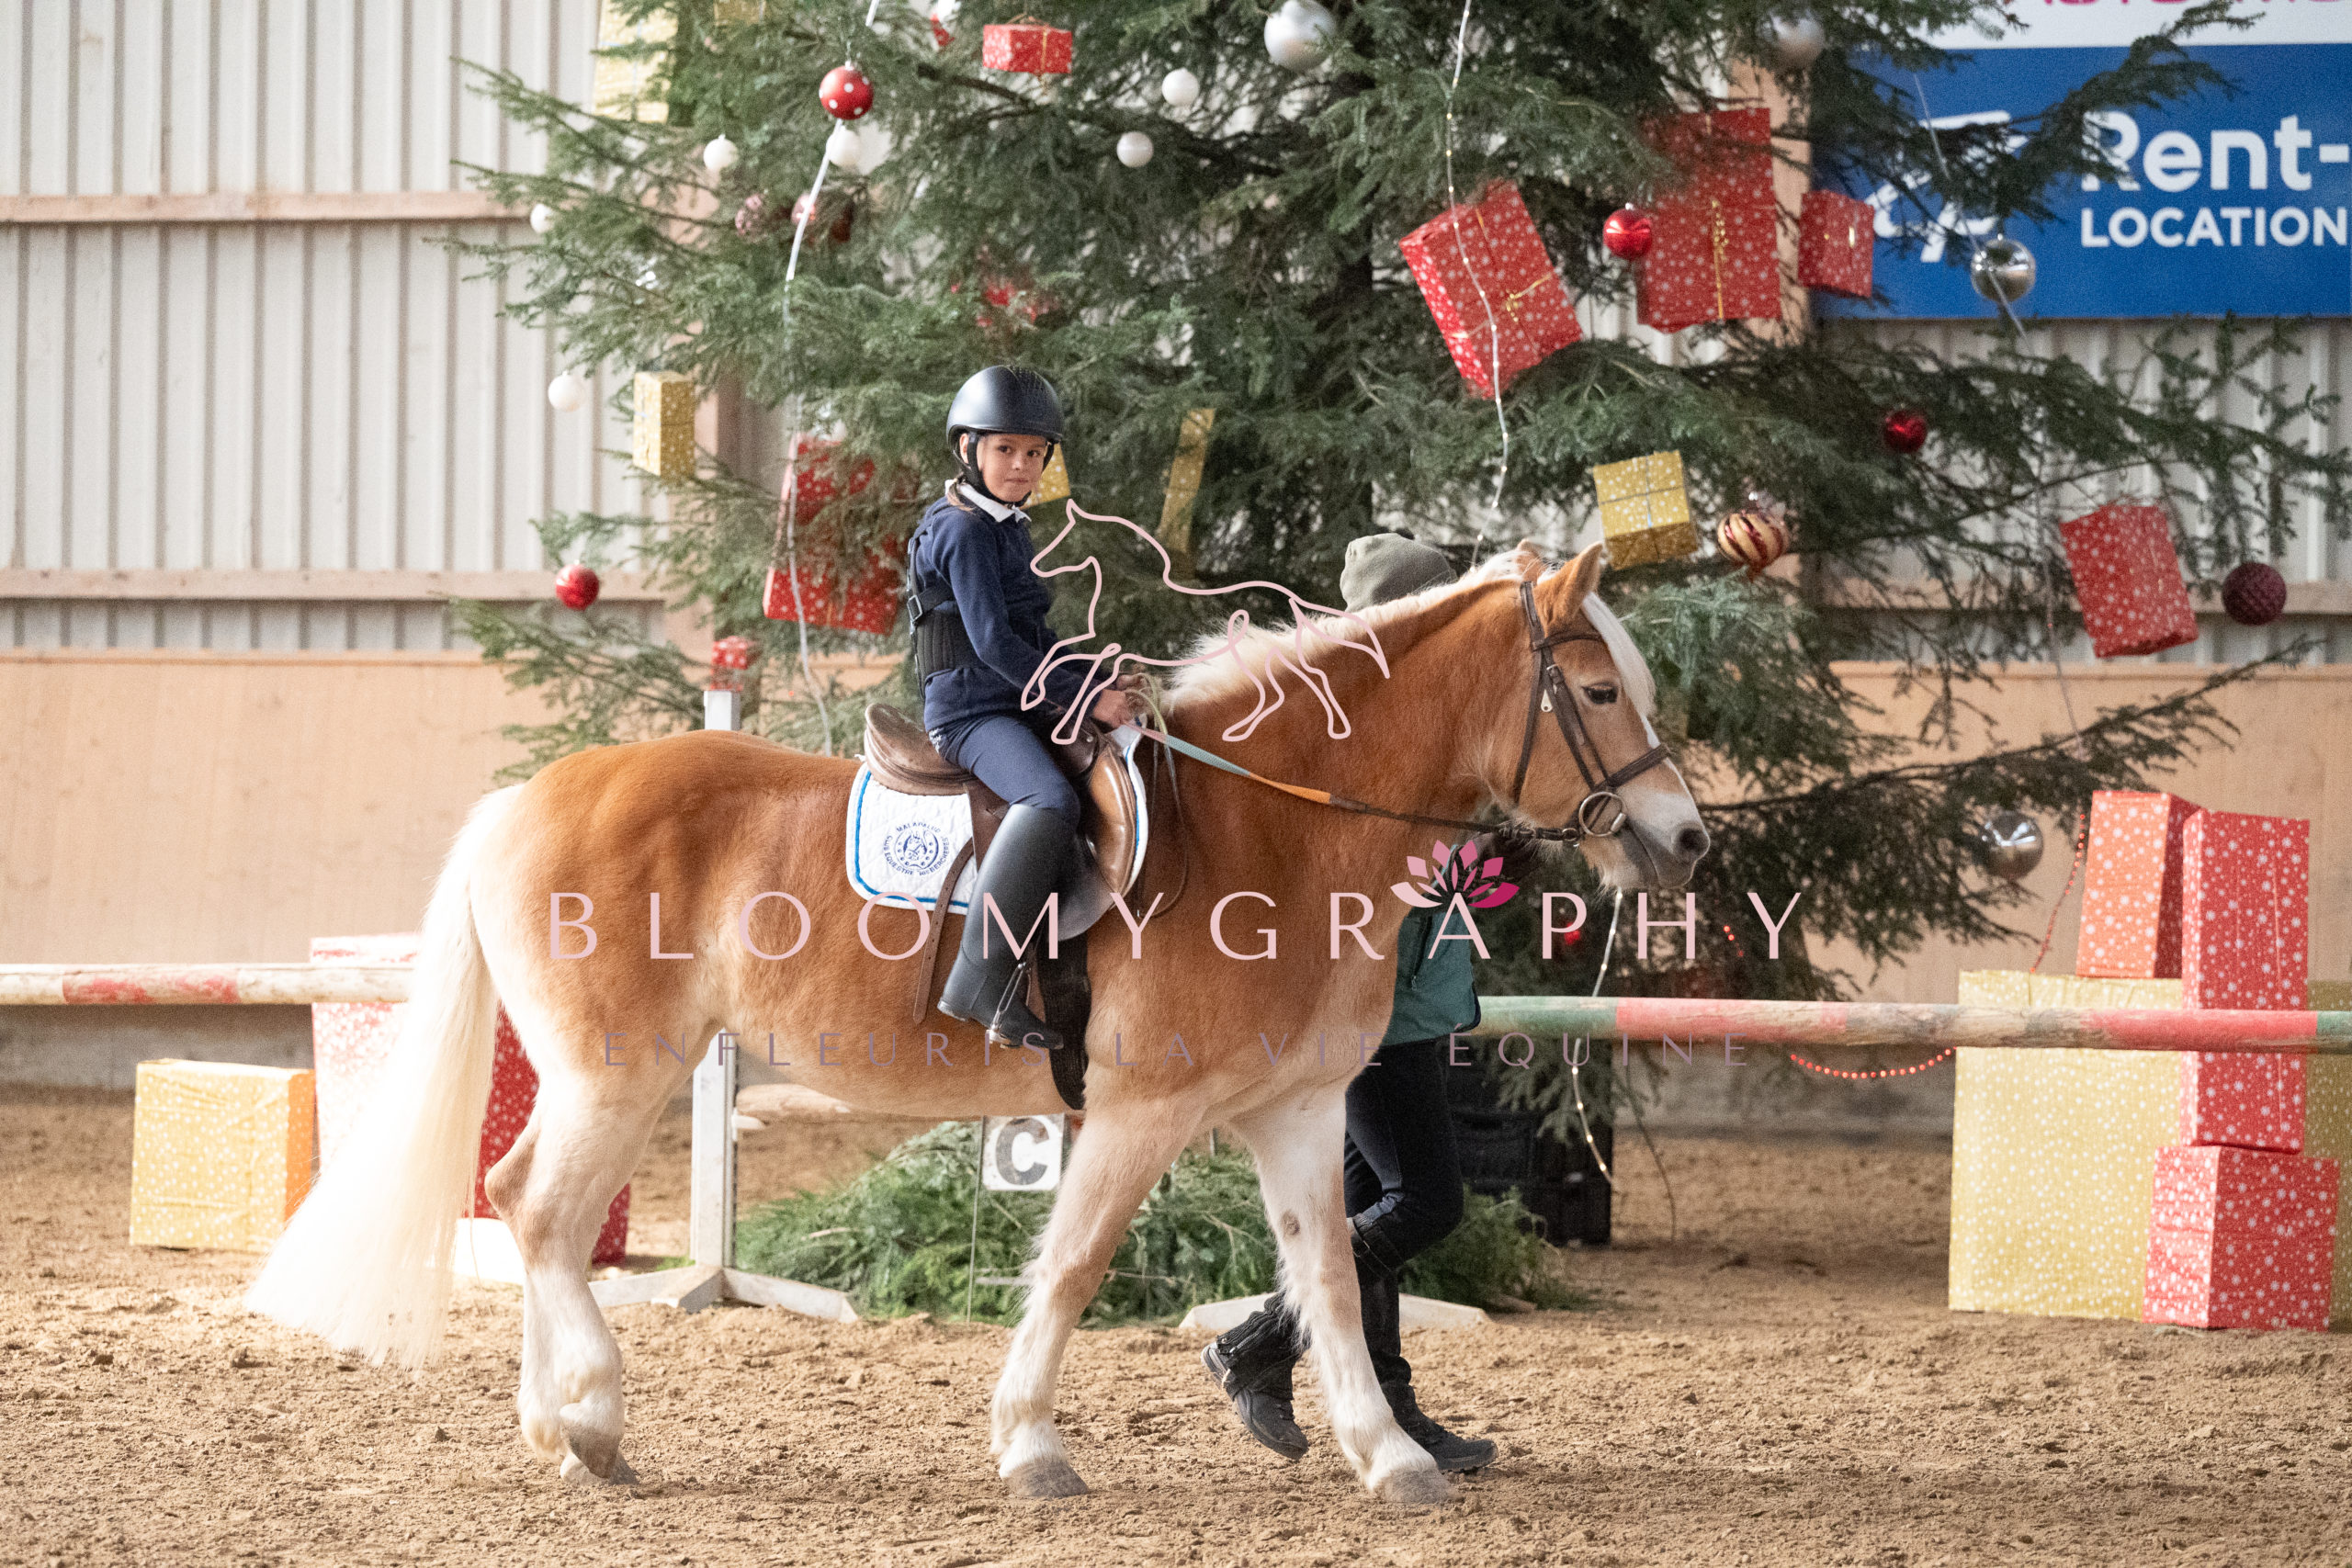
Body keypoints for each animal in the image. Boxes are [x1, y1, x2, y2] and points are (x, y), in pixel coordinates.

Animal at [243, 539, 1708, 1508]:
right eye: (1596, 691)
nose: (1686, 839)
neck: (1278, 822)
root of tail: (532, 793)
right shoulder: (1135, 1111)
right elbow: (1071, 1269)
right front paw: (1032, 1445)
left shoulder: (1295, 1110)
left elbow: (1334, 1277)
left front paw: (1392, 1455)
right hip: (620, 1072)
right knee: (543, 1214)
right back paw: (595, 1421)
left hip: (598, 1076)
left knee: (517, 1198)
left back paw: (551, 1424)